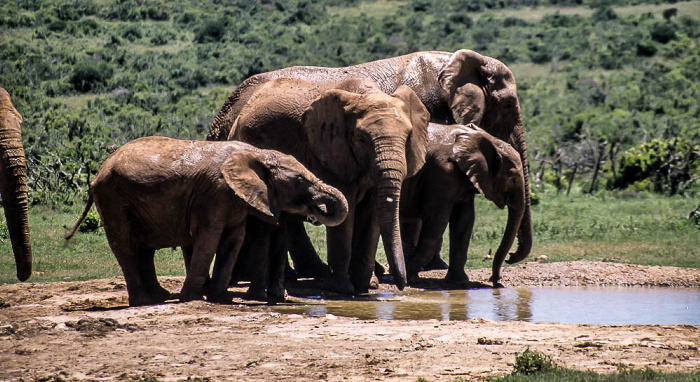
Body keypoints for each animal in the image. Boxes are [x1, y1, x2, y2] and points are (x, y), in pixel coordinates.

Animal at [65, 136, 348, 306]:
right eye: (300, 180)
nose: (315, 213)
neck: (256, 153)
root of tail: (99, 171)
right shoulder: (214, 193)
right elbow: (209, 237)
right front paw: (191, 299)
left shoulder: (234, 200)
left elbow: (233, 239)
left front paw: (220, 298)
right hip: (112, 197)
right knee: (125, 246)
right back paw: (144, 301)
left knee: (144, 250)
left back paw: (159, 297)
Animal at [227, 77, 430, 292]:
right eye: (362, 139)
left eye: (408, 137)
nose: (402, 285)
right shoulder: (329, 153)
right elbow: (347, 211)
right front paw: (343, 289)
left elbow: (371, 212)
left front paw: (366, 286)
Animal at [400, 124, 524, 288]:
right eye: (513, 178)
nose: (495, 280)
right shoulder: (442, 174)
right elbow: (436, 222)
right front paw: (411, 278)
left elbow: (464, 221)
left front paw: (459, 283)